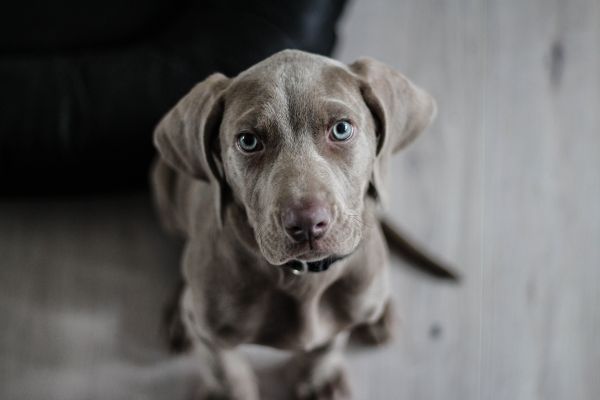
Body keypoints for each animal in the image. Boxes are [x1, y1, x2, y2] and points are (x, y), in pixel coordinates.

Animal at [150, 50, 450, 400]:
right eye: (248, 141)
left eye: (341, 129)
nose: (307, 223)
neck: (302, 279)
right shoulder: (211, 335)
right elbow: (225, 369)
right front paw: (228, 391)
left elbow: (327, 345)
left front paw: (319, 380)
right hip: (162, 185)